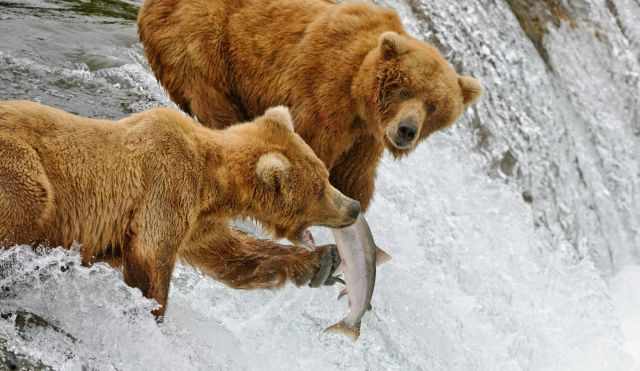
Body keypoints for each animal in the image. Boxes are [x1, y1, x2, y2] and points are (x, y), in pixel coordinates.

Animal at [0, 101, 360, 316]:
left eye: (325, 175)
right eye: (321, 186)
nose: (354, 207)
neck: (213, 182)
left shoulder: (199, 222)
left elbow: (233, 257)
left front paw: (323, 262)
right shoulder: (167, 186)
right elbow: (151, 256)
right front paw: (152, 311)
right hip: (22, 165)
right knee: (31, 200)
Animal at [139, 0, 480, 270]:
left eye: (434, 105)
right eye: (405, 88)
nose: (407, 130)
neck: (360, 98)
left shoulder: (365, 140)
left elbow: (355, 179)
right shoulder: (324, 92)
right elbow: (312, 149)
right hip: (204, 41)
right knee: (214, 101)